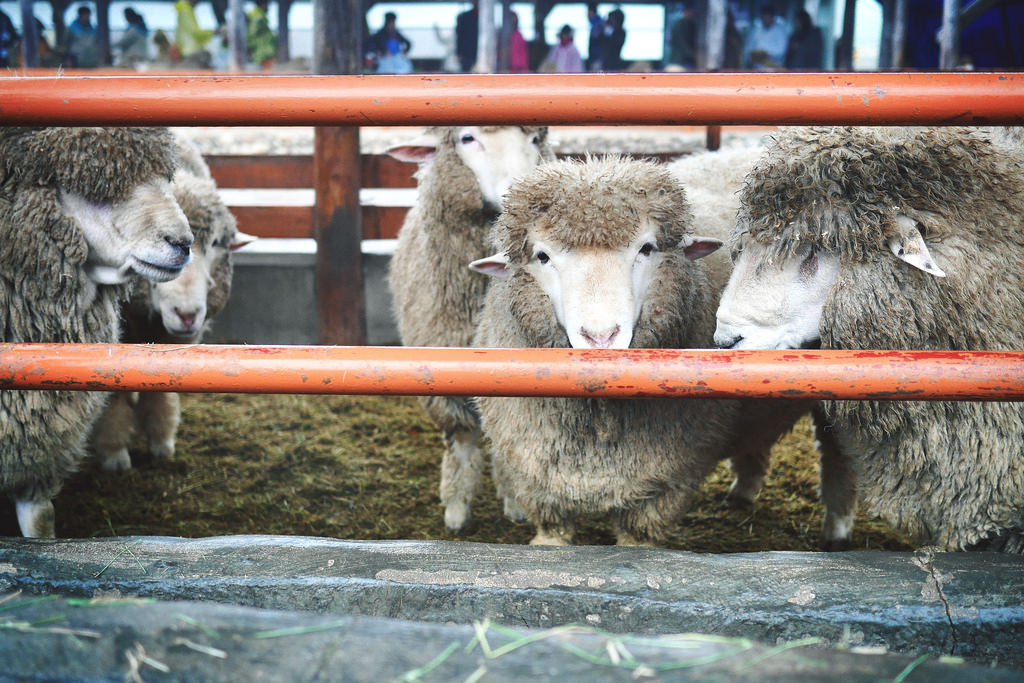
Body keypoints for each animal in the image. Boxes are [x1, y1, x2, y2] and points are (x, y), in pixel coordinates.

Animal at [89, 136, 252, 471]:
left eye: (216, 243)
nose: (187, 315)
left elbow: (162, 384)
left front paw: (161, 439)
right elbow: (112, 393)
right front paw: (114, 451)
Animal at [469, 155, 800, 546]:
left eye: (647, 248)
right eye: (542, 256)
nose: (601, 337)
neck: (598, 421)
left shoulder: (661, 488)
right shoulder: (537, 480)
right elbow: (552, 535)